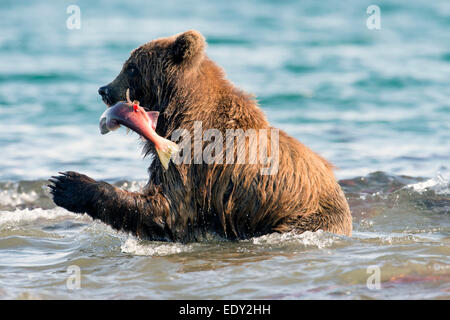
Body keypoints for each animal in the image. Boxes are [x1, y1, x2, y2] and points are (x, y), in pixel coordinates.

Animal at [48, 30, 352, 242]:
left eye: (131, 67)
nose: (104, 89)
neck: (179, 108)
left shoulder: (195, 155)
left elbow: (168, 208)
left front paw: (67, 184)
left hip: (302, 218)